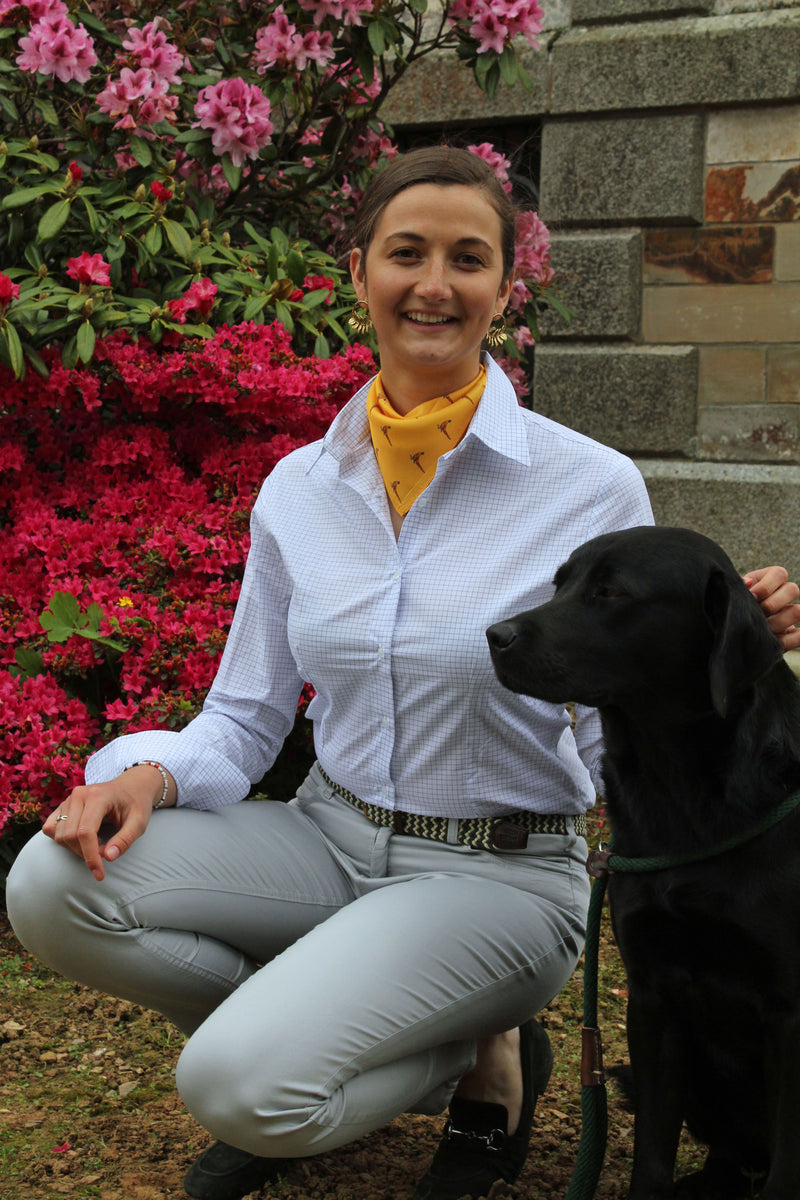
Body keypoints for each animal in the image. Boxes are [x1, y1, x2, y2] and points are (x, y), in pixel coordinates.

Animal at [484, 528, 800, 1200]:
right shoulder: (652, 997)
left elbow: (789, 1168)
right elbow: (652, 1153)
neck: (681, 793)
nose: (496, 634)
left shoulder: (792, 1013)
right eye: (560, 582)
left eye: (610, 592)